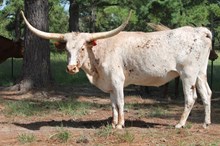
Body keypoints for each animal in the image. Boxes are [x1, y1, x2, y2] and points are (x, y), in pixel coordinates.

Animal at [21, 10, 212, 129]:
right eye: (67, 49)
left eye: (82, 48)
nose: (71, 67)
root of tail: (199, 31)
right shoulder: (110, 84)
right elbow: (112, 104)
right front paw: (113, 123)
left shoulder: (117, 81)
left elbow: (120, 102)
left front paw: (120, 124)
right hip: (201, 73)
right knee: (206, 94)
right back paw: (206, 123)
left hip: (188, 74)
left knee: (191, 98)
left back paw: (180, 124)